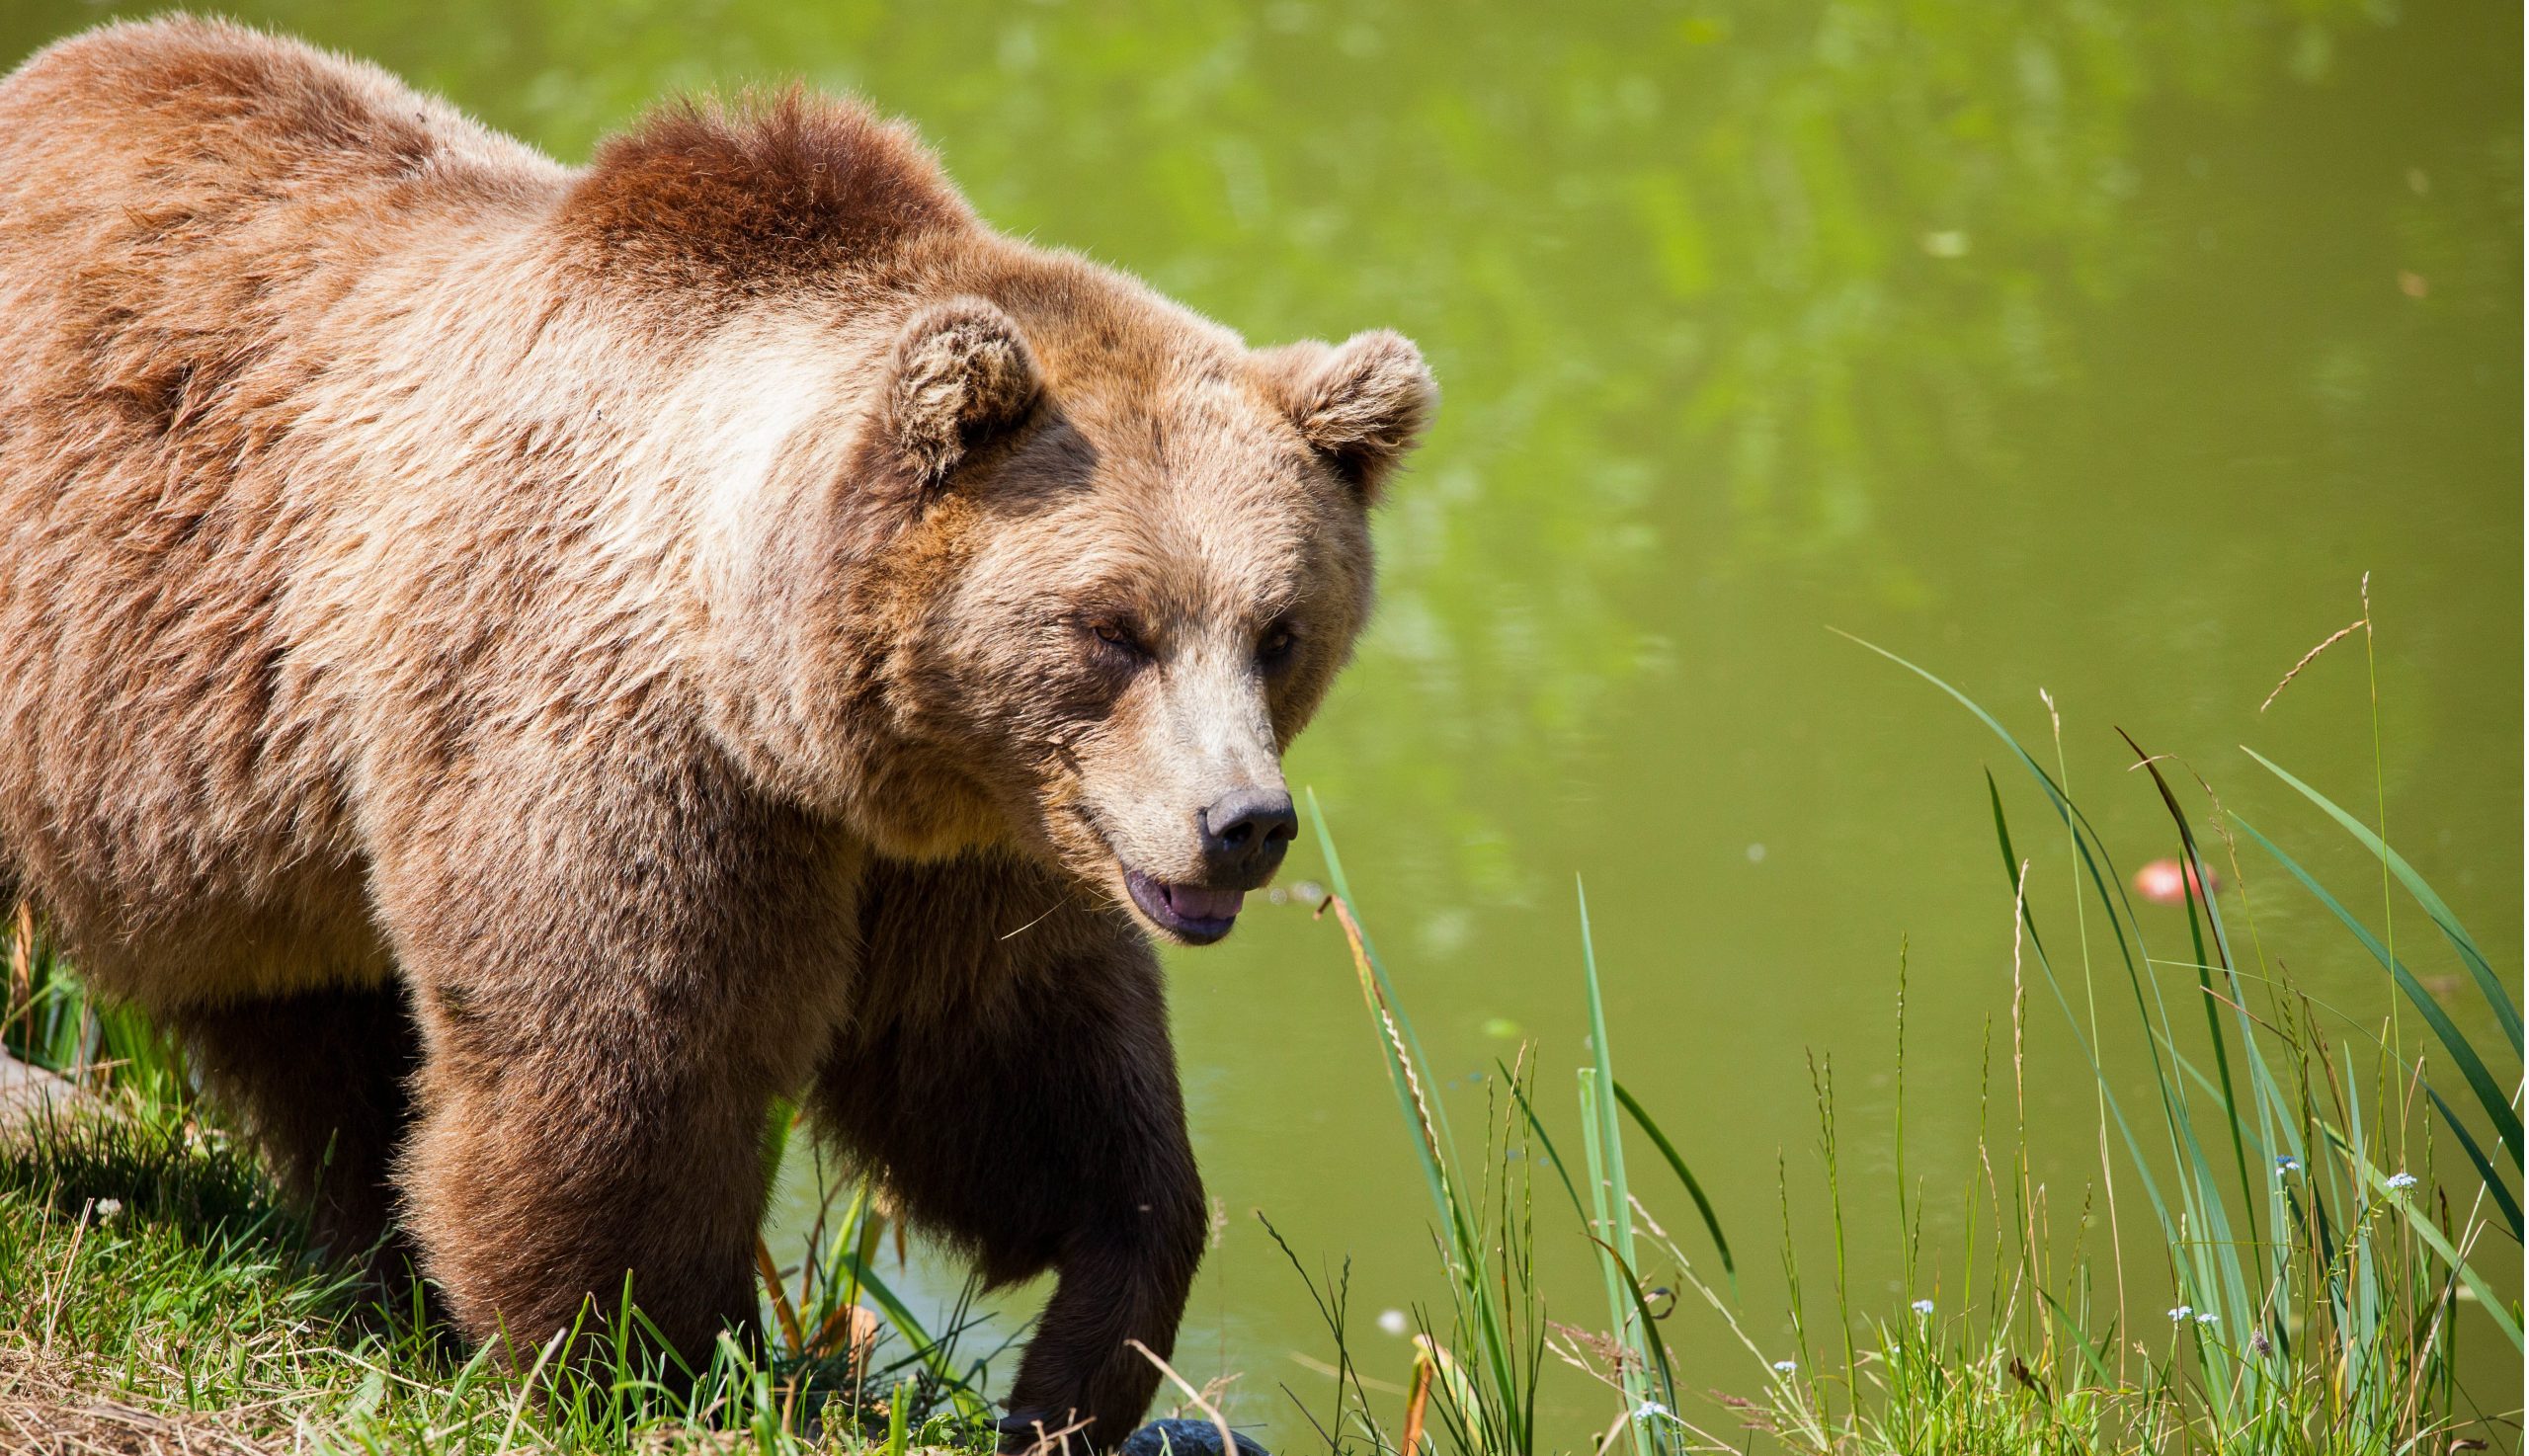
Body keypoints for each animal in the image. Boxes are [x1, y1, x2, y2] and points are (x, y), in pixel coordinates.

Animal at [0, 14, 1436, 1445]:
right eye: (1112, 627)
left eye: (1279, 628)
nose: (1242, 822)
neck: (791, 697)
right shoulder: (616, 736)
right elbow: (620, 1065)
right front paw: (654, 1359)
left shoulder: (970, 840)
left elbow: (1013, 1066)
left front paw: (1082, 1356)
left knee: (307, 1018)